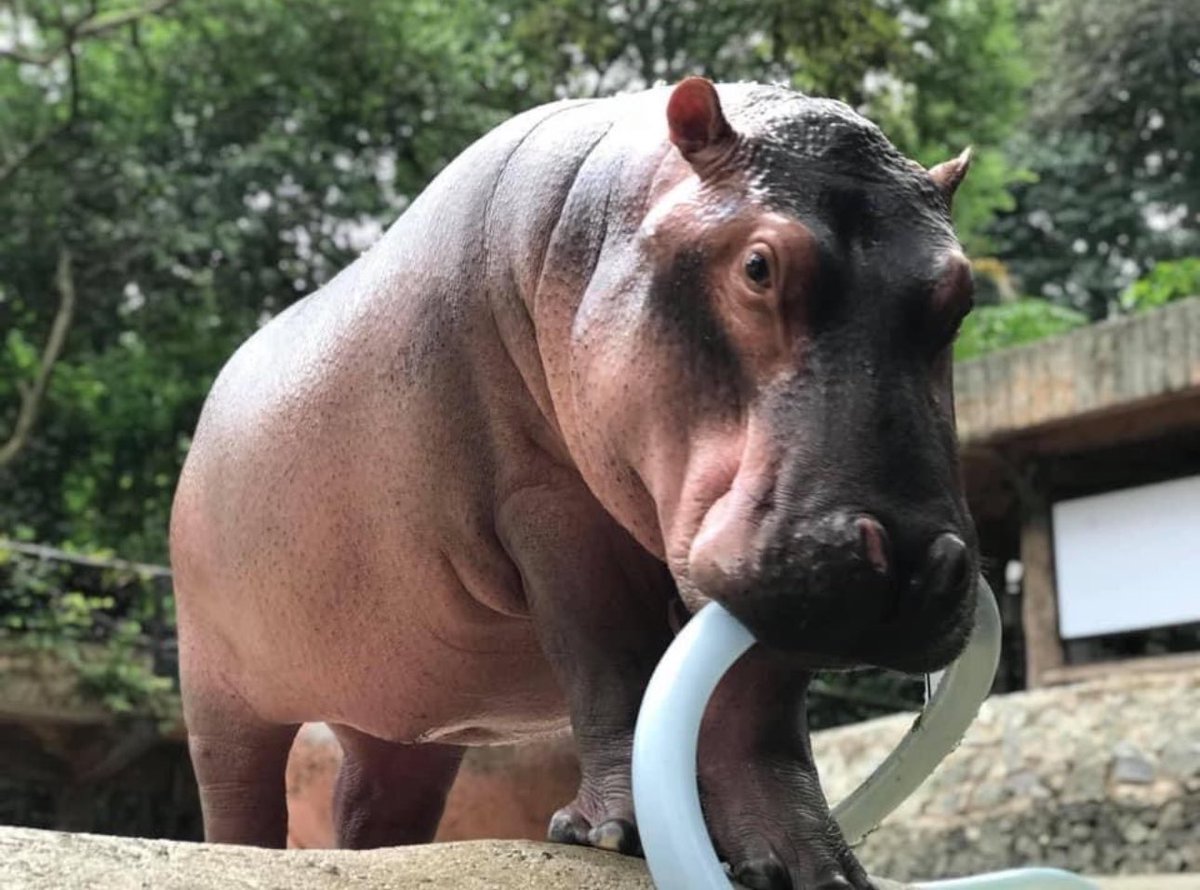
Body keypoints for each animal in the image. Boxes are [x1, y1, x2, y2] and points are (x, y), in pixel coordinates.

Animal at [170, 77, 977, 889]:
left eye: (961, 292)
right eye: (759, 266)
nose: (907, 563)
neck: (608, 220)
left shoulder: (755, 566)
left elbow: (762, 709)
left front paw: (817, 869)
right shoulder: (552, 506)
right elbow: (609, 659)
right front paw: (614, 836)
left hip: (402, 707)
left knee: (376, 802)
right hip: (215, 685)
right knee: (235, 790)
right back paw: (239, 856)